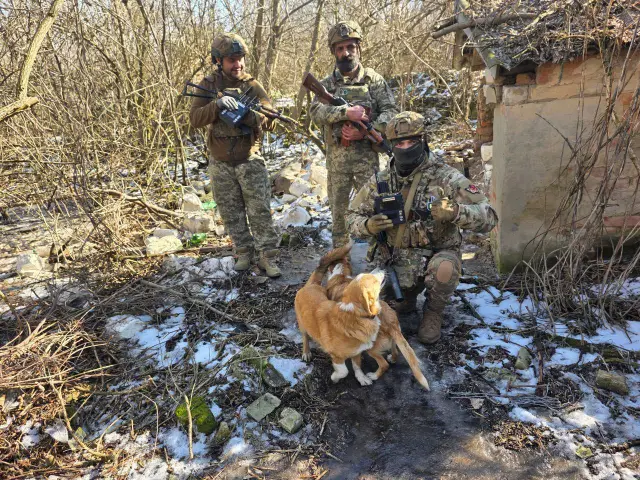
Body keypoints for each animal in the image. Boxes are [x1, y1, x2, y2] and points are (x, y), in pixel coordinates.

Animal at [294, 244, 387, 386]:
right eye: (372, 280)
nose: (382, 266)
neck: (357, 316)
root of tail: (311, 285)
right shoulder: (336, 356)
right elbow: (344, 371)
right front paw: (335, 378)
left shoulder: (357, 351)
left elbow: (357, 366)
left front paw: (361, 378)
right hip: (303, 325)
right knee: (305, 338)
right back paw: (306, 352)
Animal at [326, 256, 430, 390]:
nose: (382, 266)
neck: (341, 276)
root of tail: (390, 324)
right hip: (394, 338)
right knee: (395, 351)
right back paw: (392, 358)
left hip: (372, 349)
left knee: (384, 364)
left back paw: (374, 376)